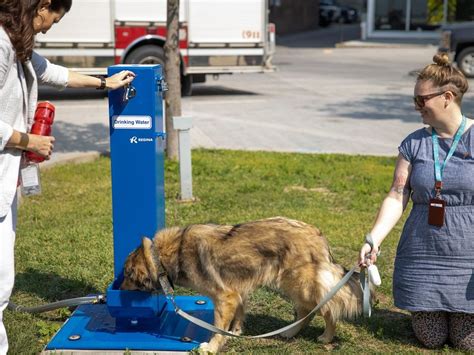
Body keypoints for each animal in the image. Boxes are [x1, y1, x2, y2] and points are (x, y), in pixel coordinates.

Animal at [120, 217, 364, 354]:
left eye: (127, 275)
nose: (118, 289)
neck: (167, 254)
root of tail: (318, 235)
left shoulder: (224, 296)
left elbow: (217, 327)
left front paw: (212, 347)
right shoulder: (236, 292)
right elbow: (238, 315)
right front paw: (235, 332)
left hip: (300, 284)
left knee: (327, 308)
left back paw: (327, 337)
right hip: (292, 284)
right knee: (308, 310)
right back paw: (290, 332)